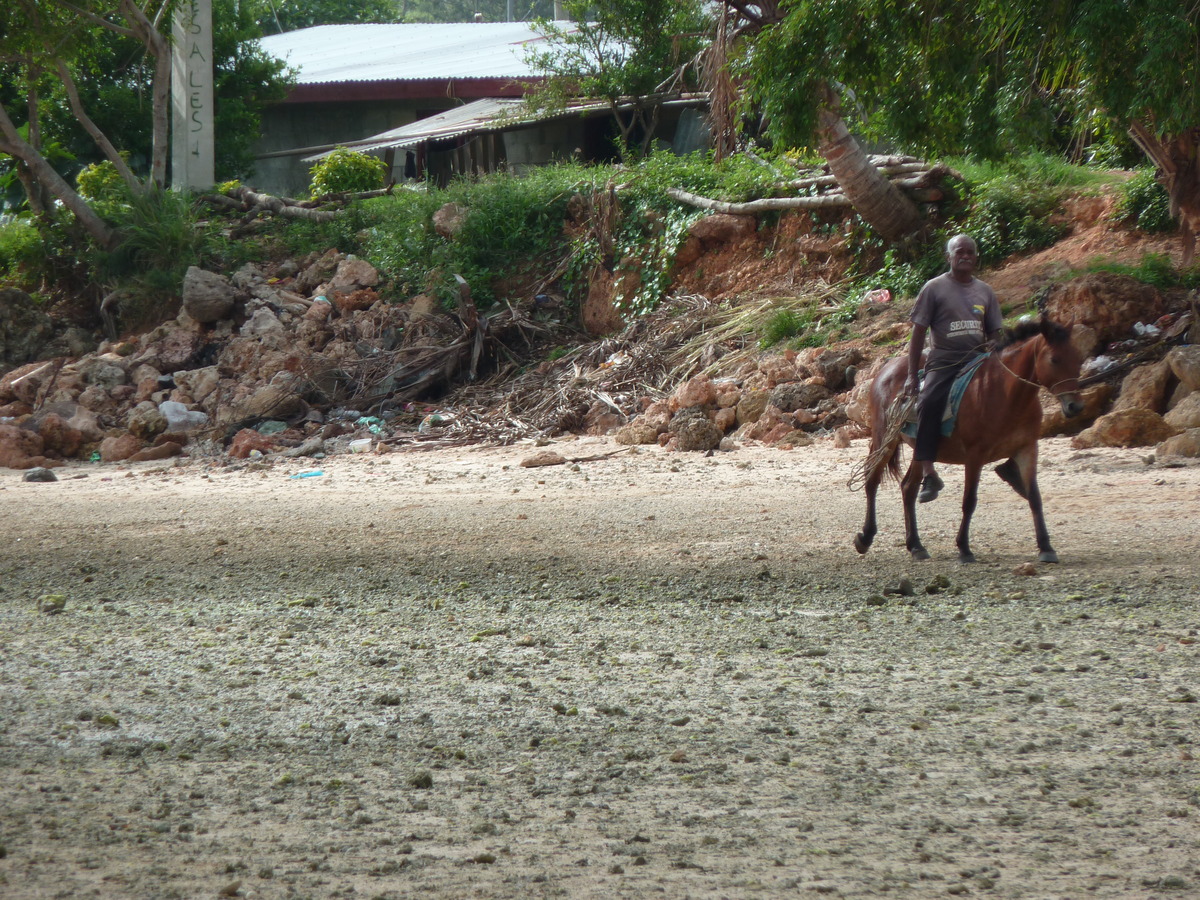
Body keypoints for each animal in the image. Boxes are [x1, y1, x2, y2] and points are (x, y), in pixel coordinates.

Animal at [854, 319, 1089, 564]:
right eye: (1054, 359)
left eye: (1078, 358)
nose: (1075, 406)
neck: (1006, 393)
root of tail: (885, 370)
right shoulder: (975, 455)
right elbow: (969, 501)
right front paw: (964, 548)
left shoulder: (1027, 449)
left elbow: (1034, 497)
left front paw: (1046, 547)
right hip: (884, 438)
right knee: (872, 479)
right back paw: (866, 537)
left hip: (918, 447)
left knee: (908, 488)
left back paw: (916, 545)